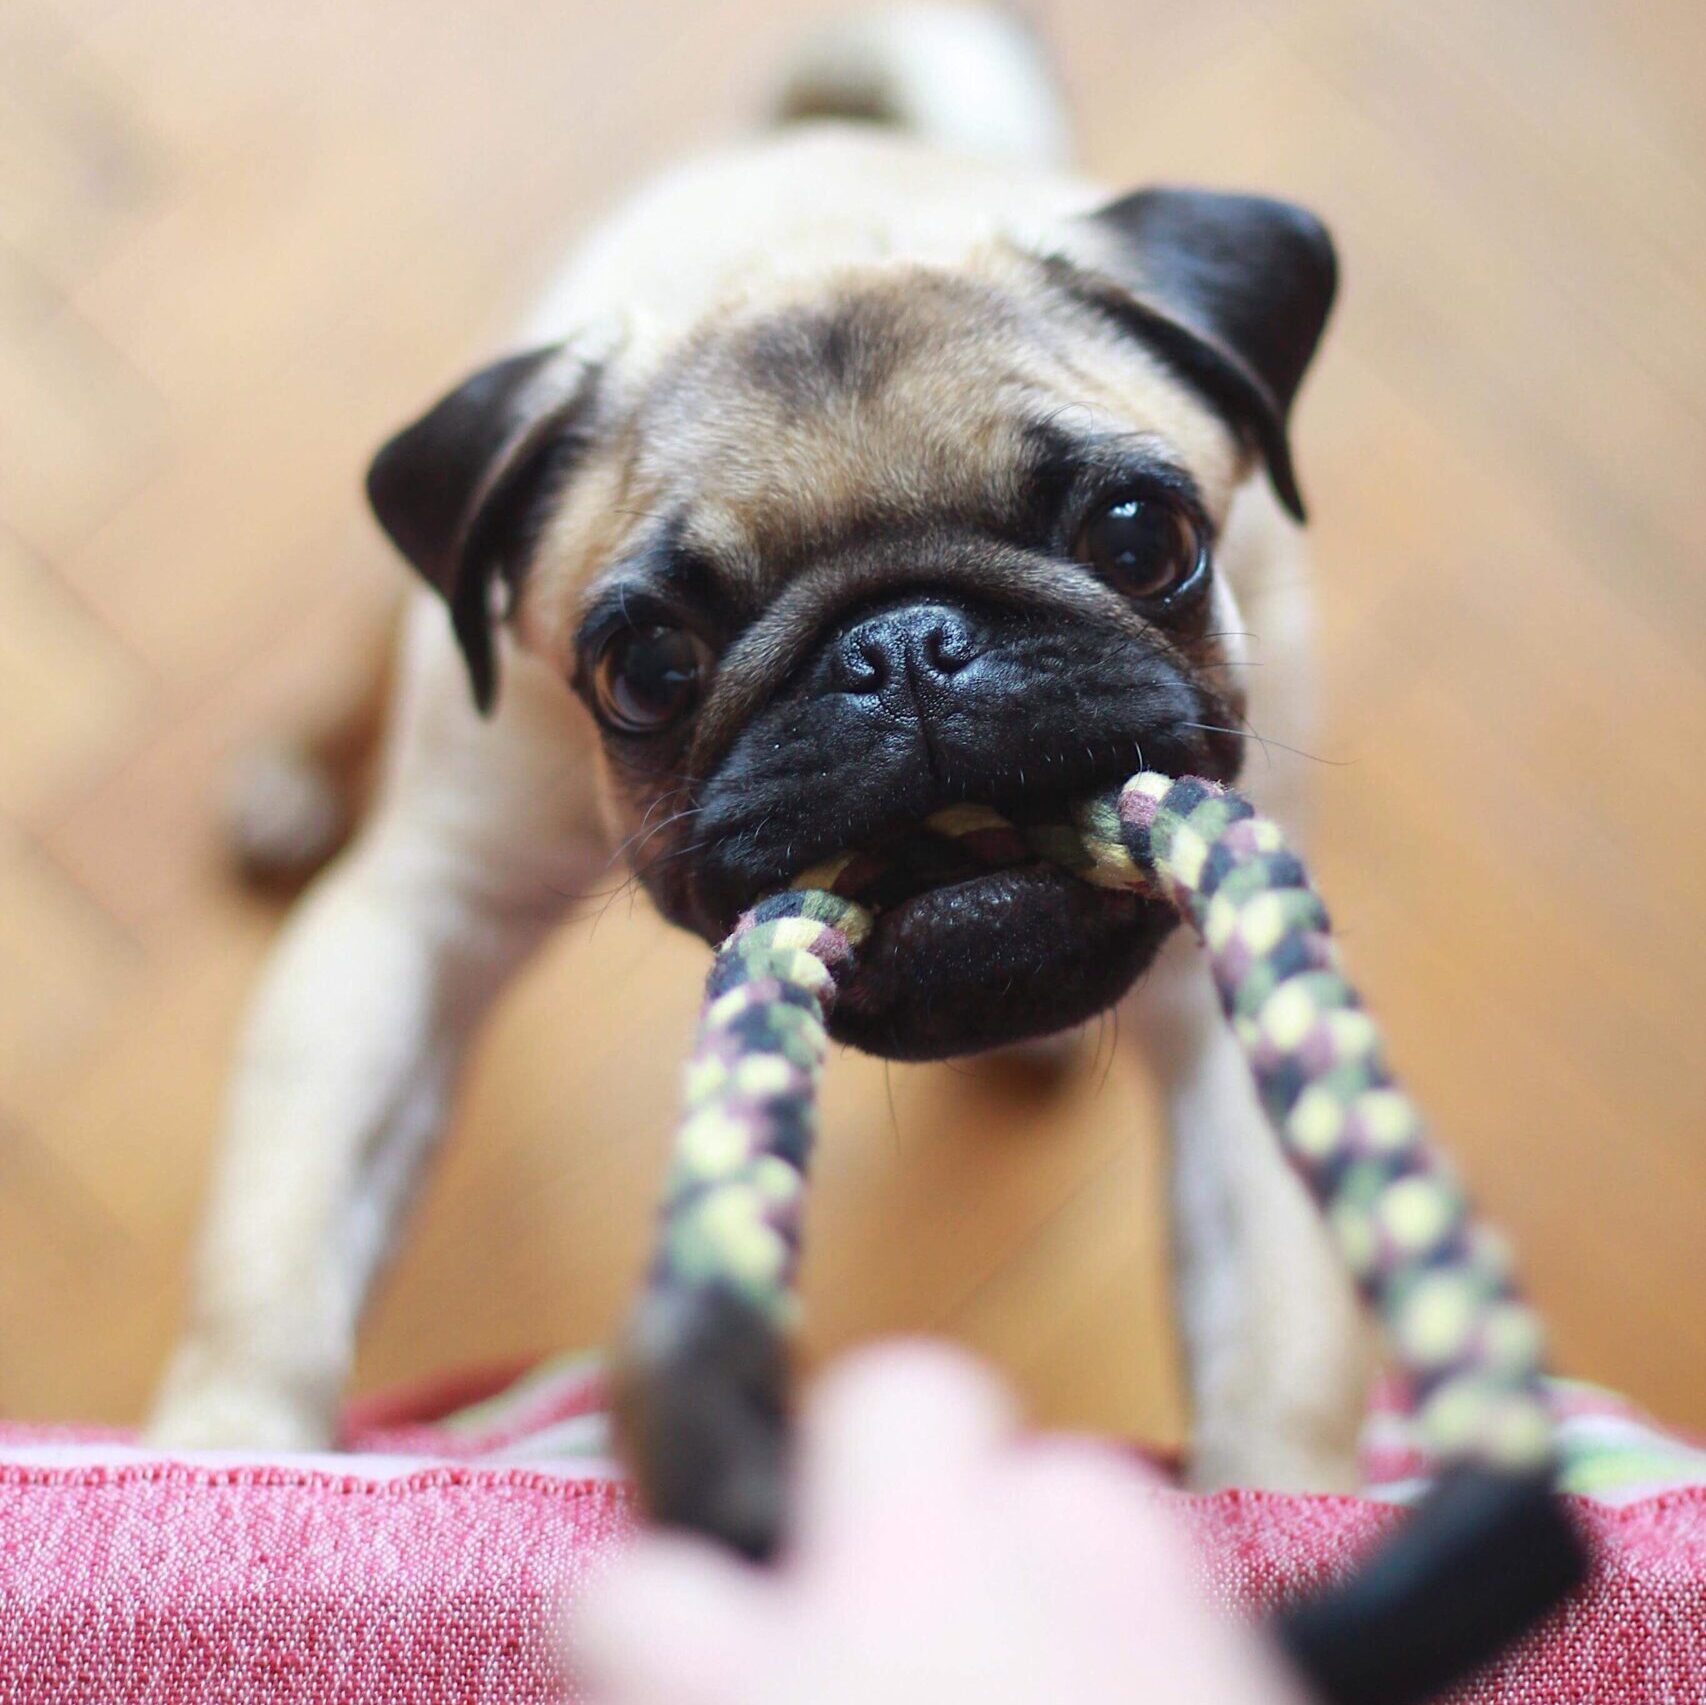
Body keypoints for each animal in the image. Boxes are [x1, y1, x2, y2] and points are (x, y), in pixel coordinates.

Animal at [150, 3, 1371, 1495]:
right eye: (646, 669)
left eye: (1142, 537)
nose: (902, 648)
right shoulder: (422, 914)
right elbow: (280, 1244)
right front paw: (225, 1444)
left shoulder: (1226, 990)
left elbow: (1279, 1315)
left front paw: (1281, 1500)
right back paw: (295, 775)